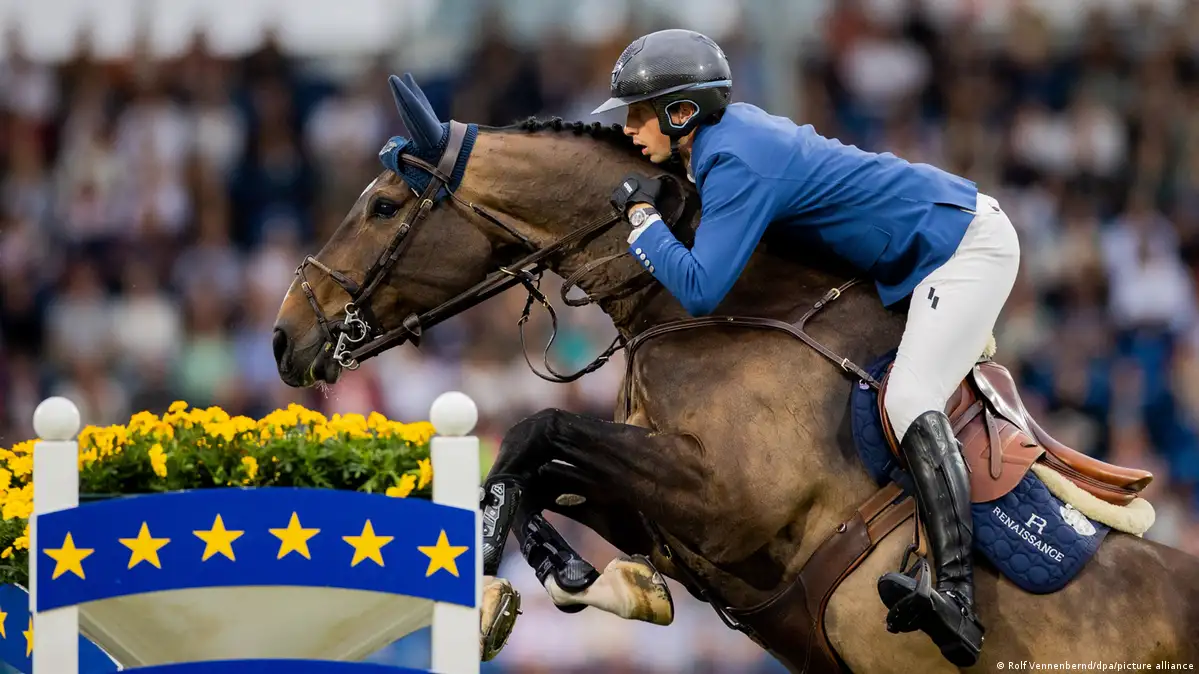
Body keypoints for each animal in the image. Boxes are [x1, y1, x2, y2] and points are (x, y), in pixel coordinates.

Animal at [271, 74, 1199, 672]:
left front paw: (507, 588)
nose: (284, 338)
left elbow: (538, 432)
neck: (706, 312)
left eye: (383, 205)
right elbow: (545, 468)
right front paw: (588, 581)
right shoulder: (673, 516)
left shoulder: (727, 503)